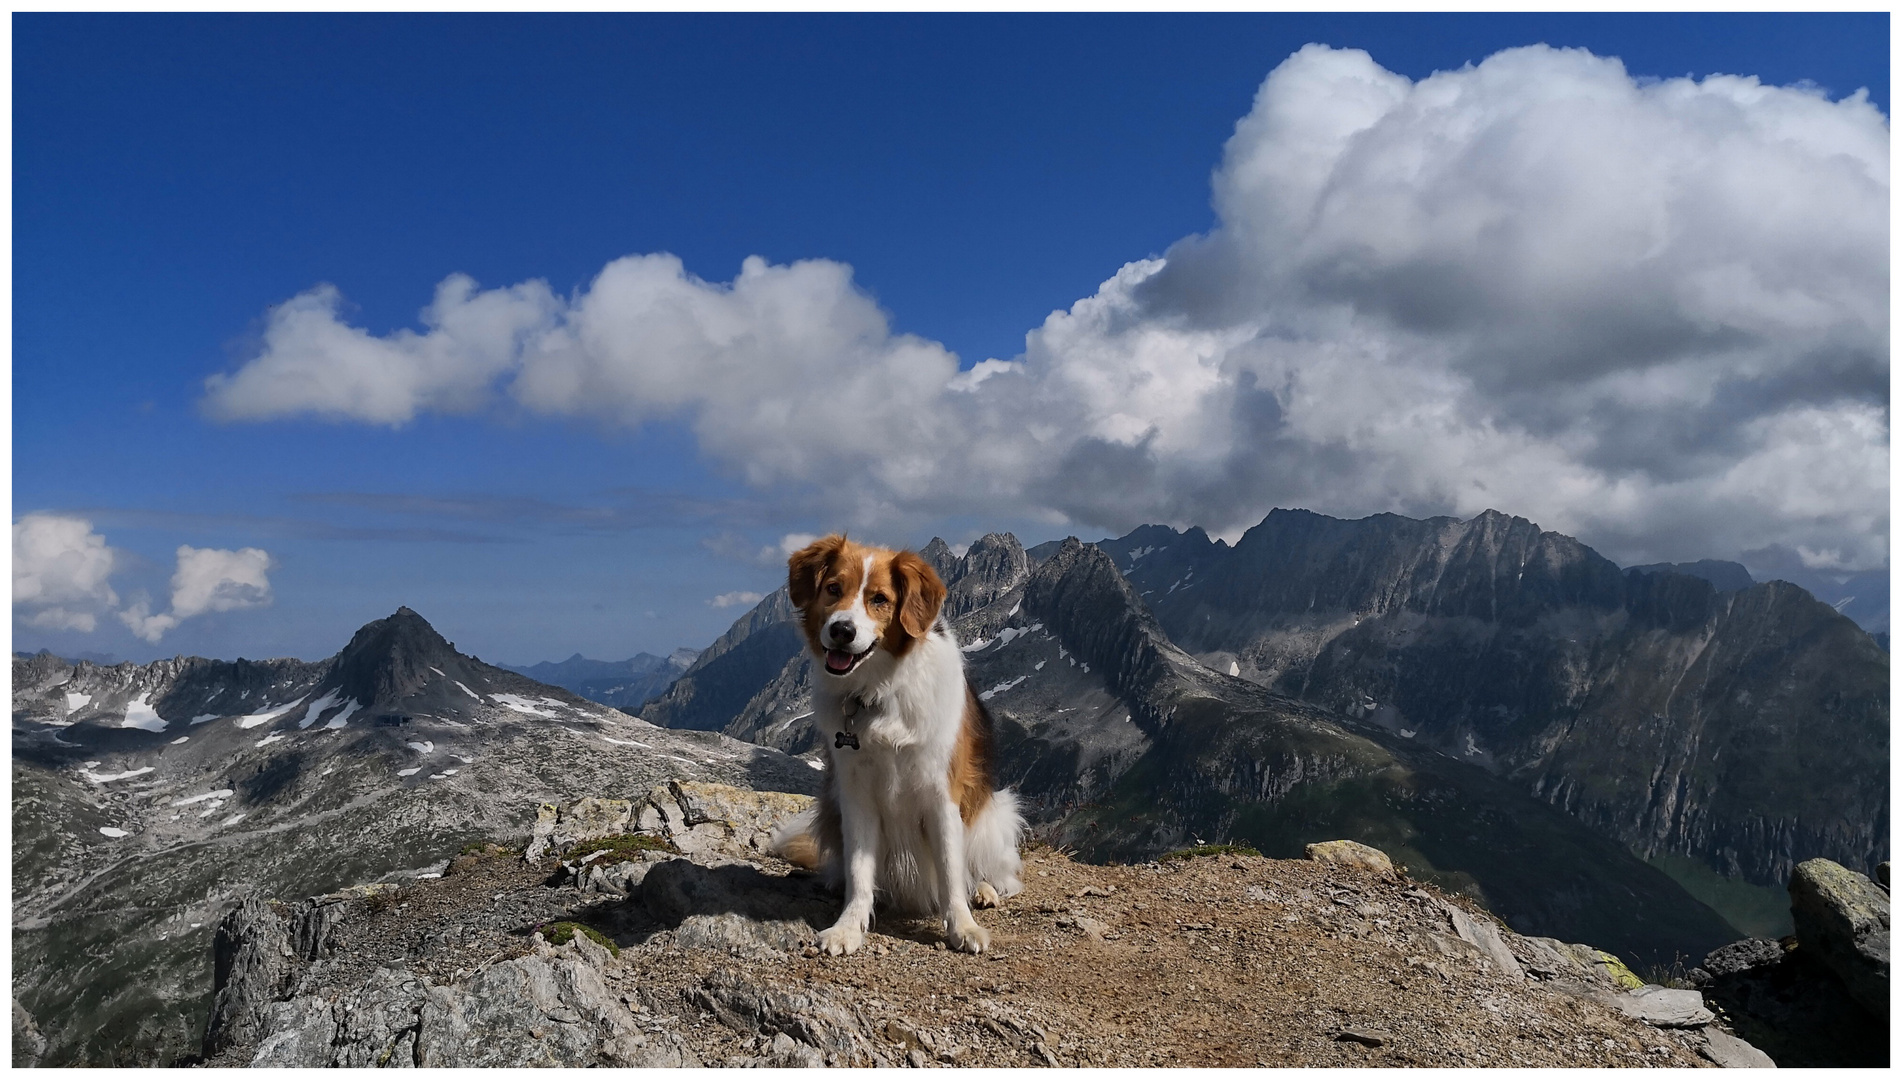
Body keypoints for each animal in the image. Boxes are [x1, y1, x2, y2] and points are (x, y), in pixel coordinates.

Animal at [768, 532, 1027, 954]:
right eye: (833, 588)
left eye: (879, 599)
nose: (842, 630)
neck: (880, 692)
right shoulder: (854, 793)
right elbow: (860, 869)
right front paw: (848, 926)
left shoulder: (941, 795)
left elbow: (951, 871)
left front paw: (963, 926)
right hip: (830, 807)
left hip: (995, 813)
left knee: (987, 871)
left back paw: (984, 890)